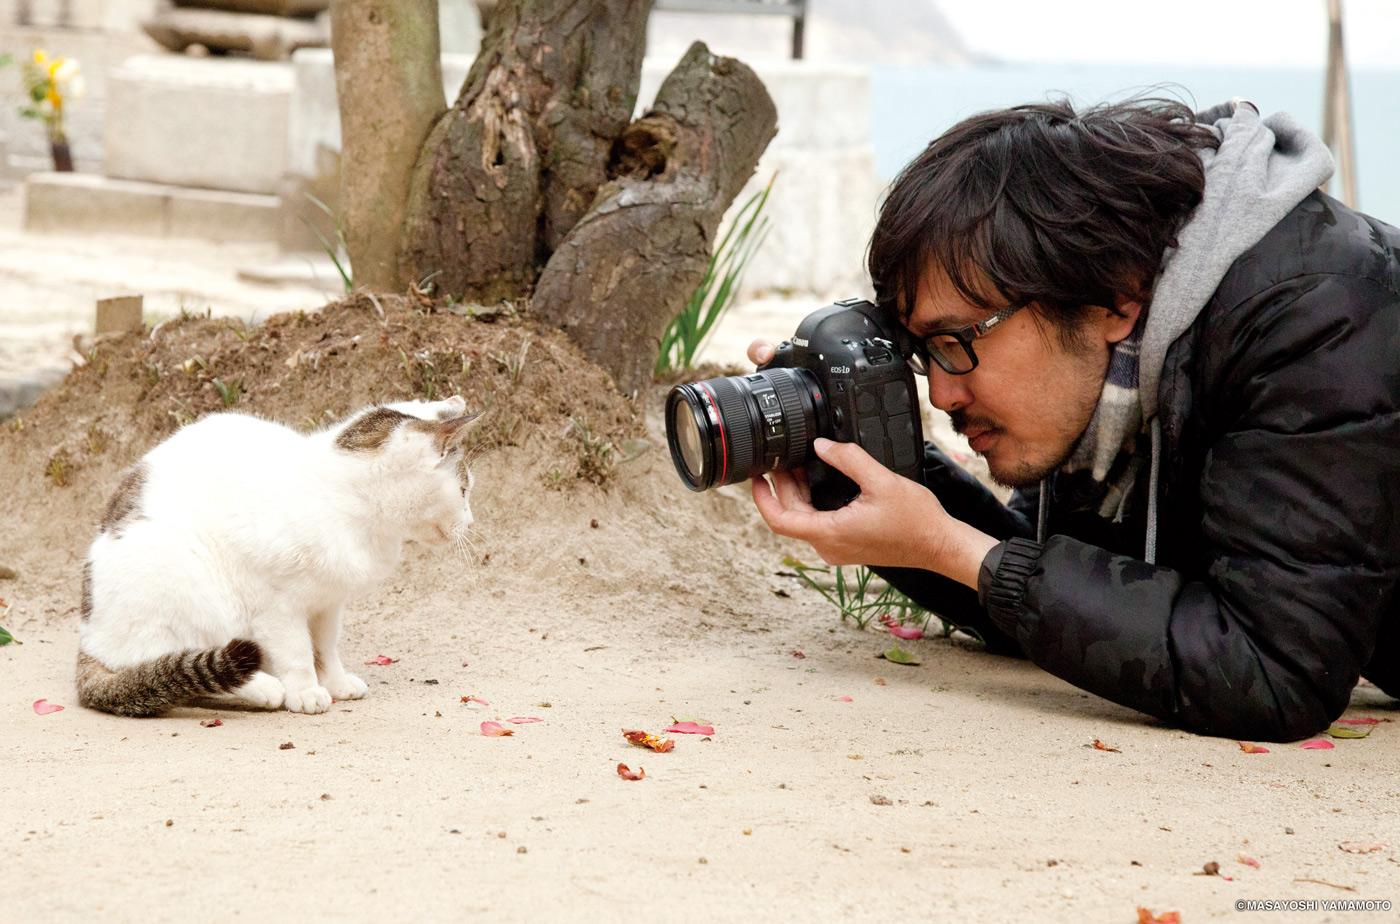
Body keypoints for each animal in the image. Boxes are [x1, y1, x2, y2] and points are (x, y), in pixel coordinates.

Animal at [76, 394, 481, 714]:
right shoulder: (276, 607)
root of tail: (88, 638)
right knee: (162, 664)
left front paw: (335, 682)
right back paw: (265, 687)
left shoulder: (328, 603)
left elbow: (325, 649)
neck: (349, 505)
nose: (472, 521)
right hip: (185, 579)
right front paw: (305, 692)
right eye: (463, 491)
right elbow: (298, 653)